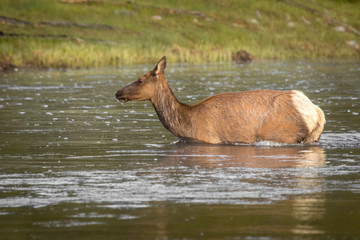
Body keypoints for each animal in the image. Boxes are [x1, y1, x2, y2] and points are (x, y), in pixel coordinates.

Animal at [115, 56, 326, 144]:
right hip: (313, 137)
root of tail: (316, 112)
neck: (186, 123)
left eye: (140, 80)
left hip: (284, 134)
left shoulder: (209, 139)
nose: (117, 92)